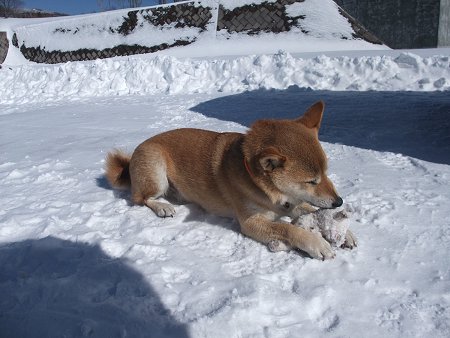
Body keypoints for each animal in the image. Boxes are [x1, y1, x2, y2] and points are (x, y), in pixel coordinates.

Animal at [104, 100, 356, 258]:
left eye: (326, 173)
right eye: (311, 181)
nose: (339, 202)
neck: (265, 188)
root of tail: (132, 157)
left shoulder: (290, 203)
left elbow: (309, 209)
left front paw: (345, 232)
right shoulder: (251, 222)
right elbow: (289, 229)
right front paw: (316, 243)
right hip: (156, 171)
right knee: (140, 198)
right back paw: (162, 207)